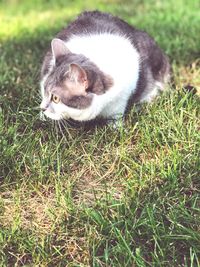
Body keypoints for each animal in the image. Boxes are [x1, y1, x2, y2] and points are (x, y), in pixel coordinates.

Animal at [39, 10, 170, 123]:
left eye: (56, 98)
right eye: (44, 90)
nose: (42, 108)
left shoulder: (120, 98)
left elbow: (116, 114)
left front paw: (116, 127)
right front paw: (42, 116)